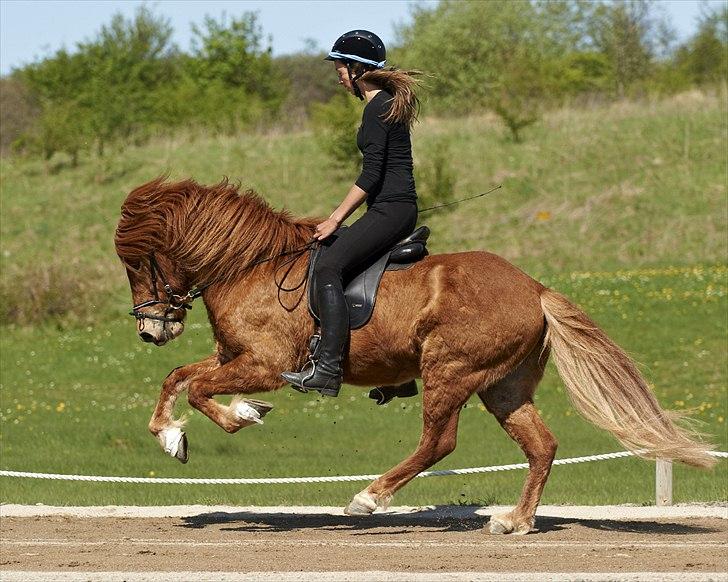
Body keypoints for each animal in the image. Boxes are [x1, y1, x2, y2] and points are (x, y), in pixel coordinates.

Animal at [115, 178, 716, 540]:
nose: (149, 330)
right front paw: (171, 437)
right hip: (503, 387)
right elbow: (177, 377)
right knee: (541, 446)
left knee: (439, 442)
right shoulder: (231, 355)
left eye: (139, 262)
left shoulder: (264, 365)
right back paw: (515, 522)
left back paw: (368, 498)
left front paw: (241, 414)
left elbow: (200, 389)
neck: (251, 265)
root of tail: (535, 288)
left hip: (449, 370)